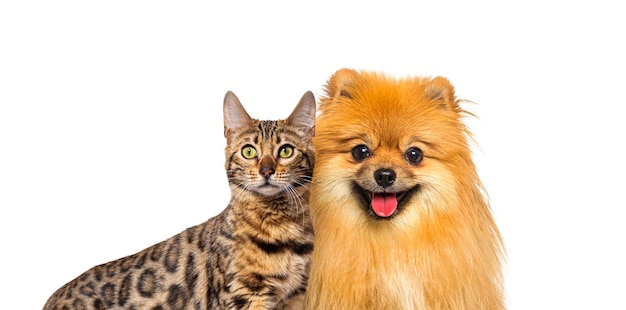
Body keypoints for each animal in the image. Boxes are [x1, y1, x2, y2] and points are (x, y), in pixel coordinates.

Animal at [42, 90, 316, 310]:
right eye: (249, 151)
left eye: (286, 150)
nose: (267, 171)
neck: (281, 228)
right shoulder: (243, 295)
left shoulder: (296, 297)